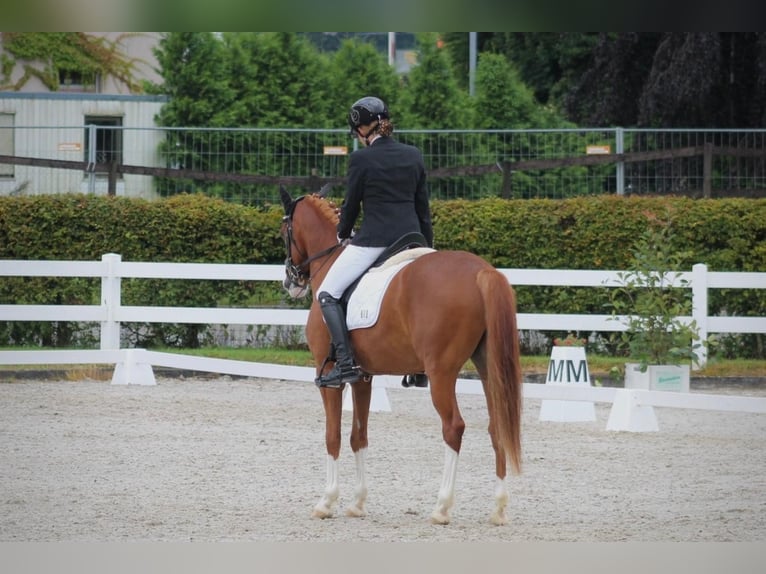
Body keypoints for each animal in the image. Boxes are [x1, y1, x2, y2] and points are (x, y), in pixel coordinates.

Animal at [282, 186, 528, 528]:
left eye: (285, 230)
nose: (290, 281)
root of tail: (482, 271)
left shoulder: (329, 378)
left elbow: (333, 436)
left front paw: (326, 502)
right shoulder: (362, 377)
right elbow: (359, 436)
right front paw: (357, 504)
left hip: (441, 373)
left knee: (454, 427)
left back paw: (441, 507)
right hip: (488, 368)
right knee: (497, 427)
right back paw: (499, 509)